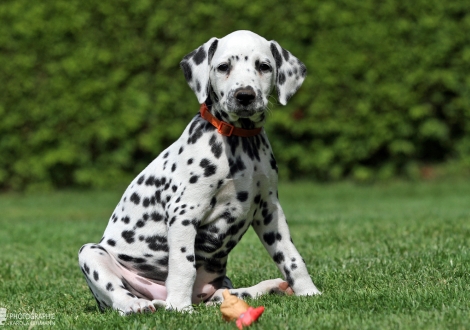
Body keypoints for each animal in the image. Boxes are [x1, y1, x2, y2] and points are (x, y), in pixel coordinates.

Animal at [79, 30, 322, 314]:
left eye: (264, 66)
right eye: (223, 67)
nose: (245, 96)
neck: (239, 140)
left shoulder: (269, 210)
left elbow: (291, 257)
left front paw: (309, 292)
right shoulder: (185, 211)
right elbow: (183, 266)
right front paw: (179, 308)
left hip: (222, 283)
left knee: (226, 294)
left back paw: (269, 287)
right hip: (90, 253)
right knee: (117, 294)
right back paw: (140, 304)